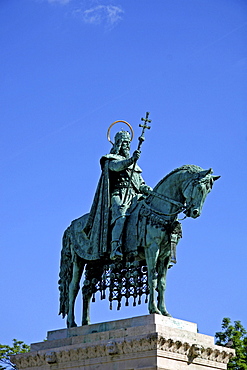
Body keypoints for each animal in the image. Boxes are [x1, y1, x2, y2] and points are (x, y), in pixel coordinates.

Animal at [58, 165, 220, 326]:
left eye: (208, 191)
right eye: (199, 187)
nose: (195, 212)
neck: (160, 210)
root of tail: (71, 226)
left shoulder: (165, 255)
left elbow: (162, 283)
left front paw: (165, 312)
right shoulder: (152, 249)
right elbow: (152, 278)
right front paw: (154, 309)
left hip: (95, 263)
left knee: (87, 289)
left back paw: (86, 323)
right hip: (78, 260)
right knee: (73, 288)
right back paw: (71, 323)